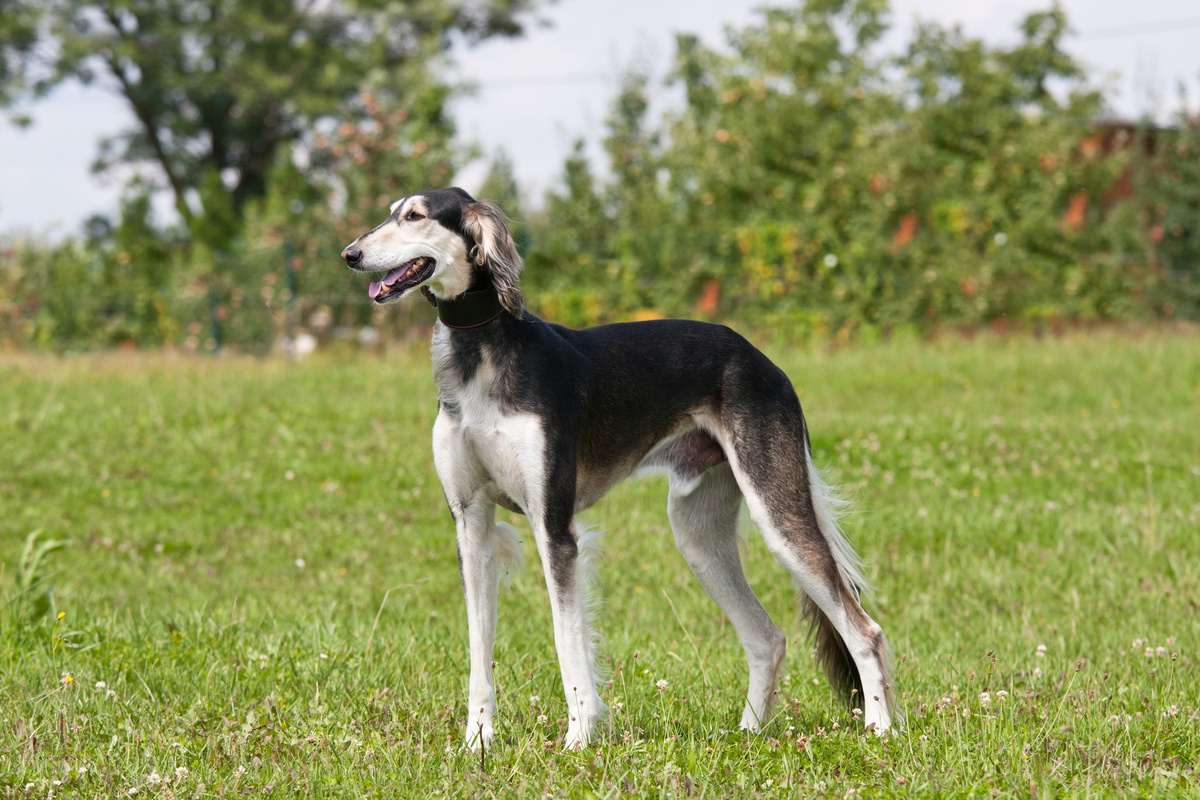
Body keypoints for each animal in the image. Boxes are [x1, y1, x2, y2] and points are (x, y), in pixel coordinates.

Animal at [343, 188, 897, 753]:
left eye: (415, 216)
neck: (481, 352)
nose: (350, 254)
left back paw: (879, 729)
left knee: (865, 631)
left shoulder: (554, 527)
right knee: (768, 638)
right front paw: (476, 743)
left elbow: (568, 642)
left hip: (777, 513)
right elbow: (480, 652)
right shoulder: (470, 523)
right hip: (698, 537)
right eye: (389, 213)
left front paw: (578, 739)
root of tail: (764, 360)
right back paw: (747, 733)